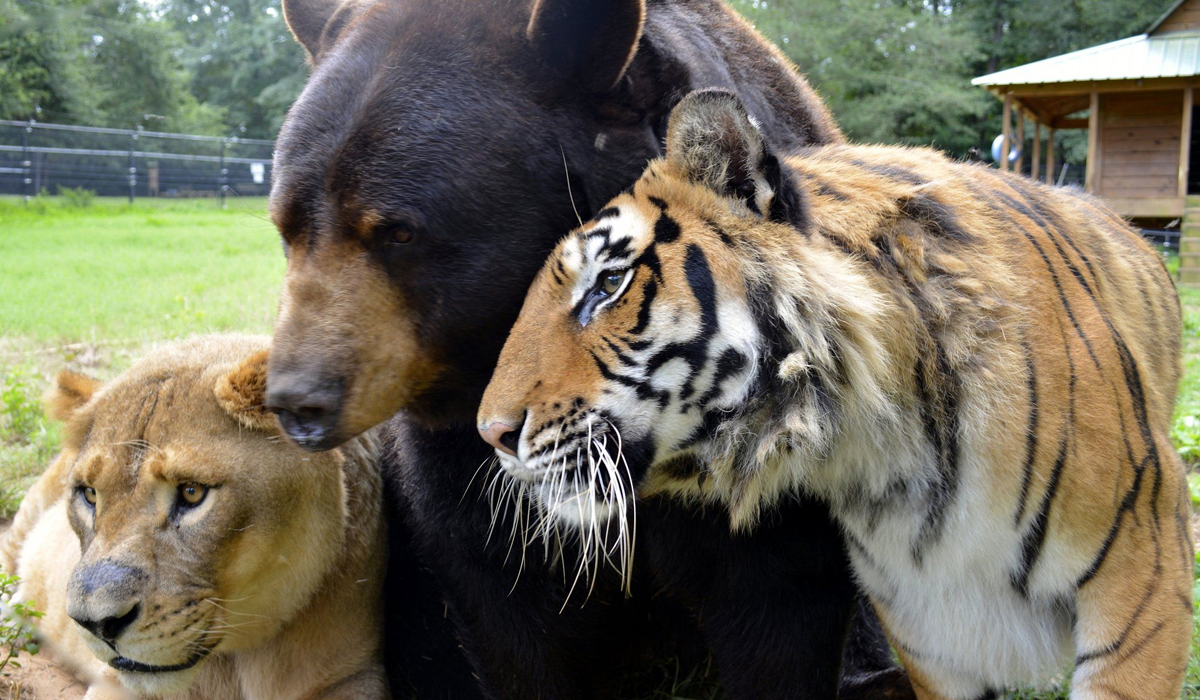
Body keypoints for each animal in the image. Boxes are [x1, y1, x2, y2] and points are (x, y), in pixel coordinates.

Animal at [0, 336, 386, 696]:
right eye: (90, 494)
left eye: (191, 492)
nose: (95, 624)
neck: (239, 663)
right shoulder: (115, 684)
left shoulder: (358, 675)